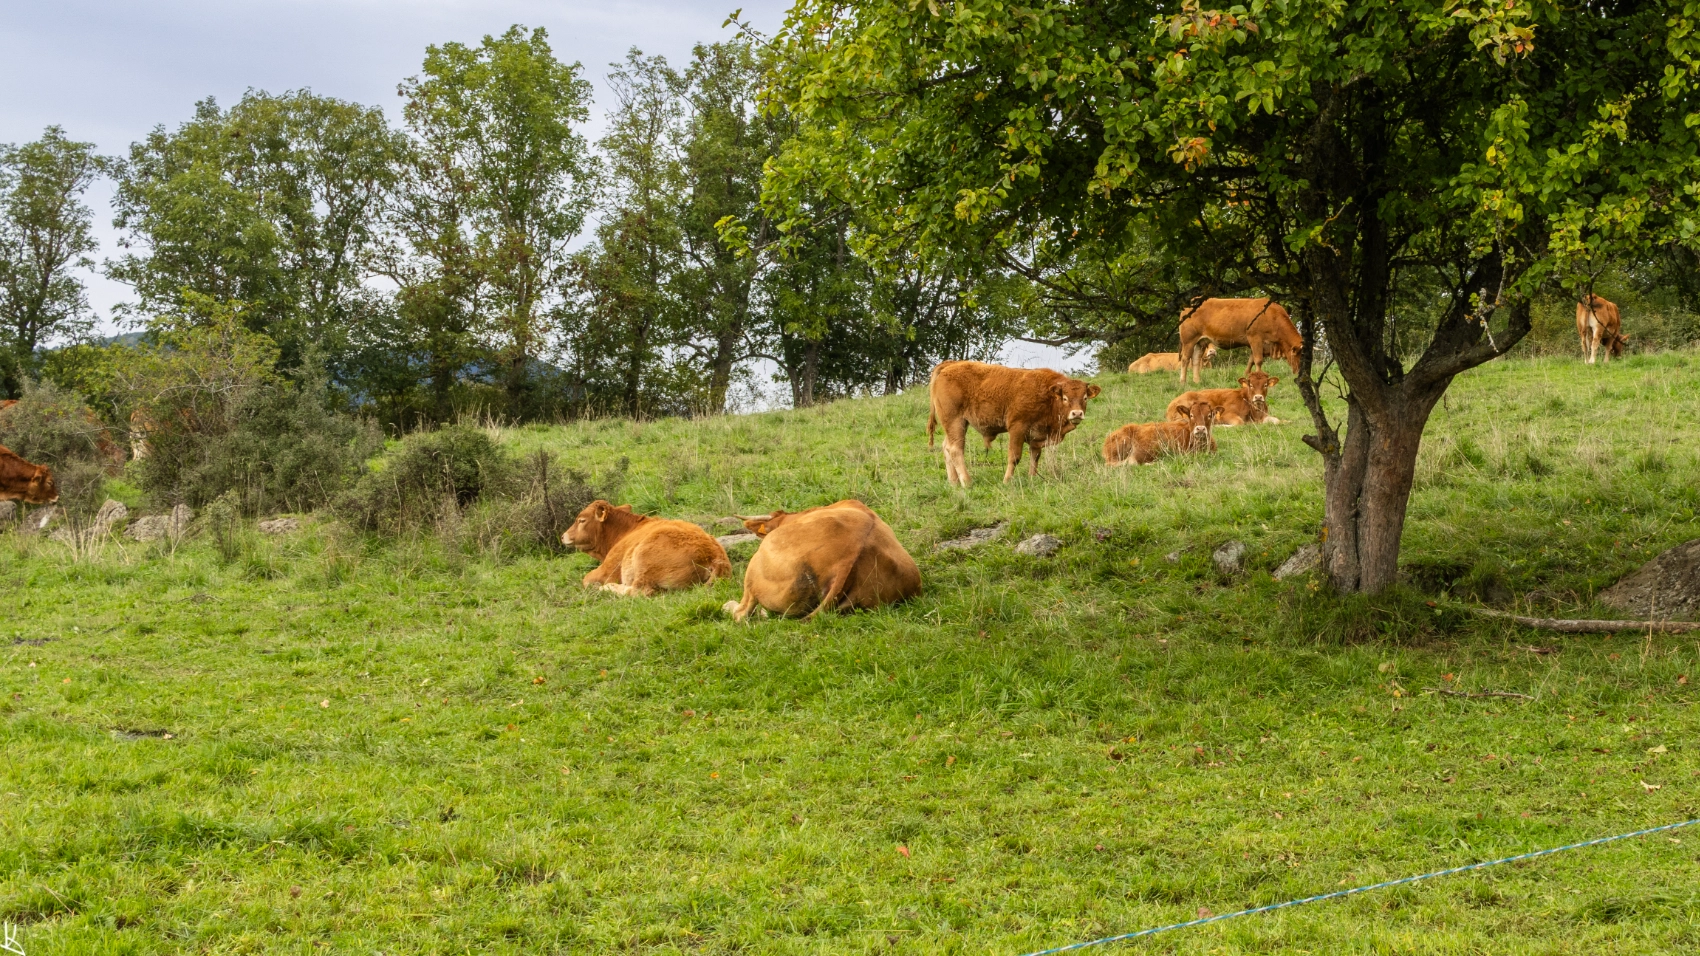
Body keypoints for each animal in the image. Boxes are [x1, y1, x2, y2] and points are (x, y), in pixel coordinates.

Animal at [562, 500, 731, 597]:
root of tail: (715, 556)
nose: (563, 536)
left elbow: (586, 579)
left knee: (638, 591)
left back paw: (608, 588)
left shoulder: (608, 568)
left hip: (644, 560)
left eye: (581, 520)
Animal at [926, 361, 1102, 487]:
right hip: (955, 422)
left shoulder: (1037, 435)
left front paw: (1032, 479)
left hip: (955, 425)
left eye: (1085, 397)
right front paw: (1007, 481)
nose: (1077, 414)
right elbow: (1014, 457)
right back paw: (967, 483)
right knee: (955, 449)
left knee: (947, 447)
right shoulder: (1017, 428)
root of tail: (950, 365)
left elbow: (1034, 457)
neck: (1048, 395)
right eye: (1065, 398)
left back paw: (954, 482)